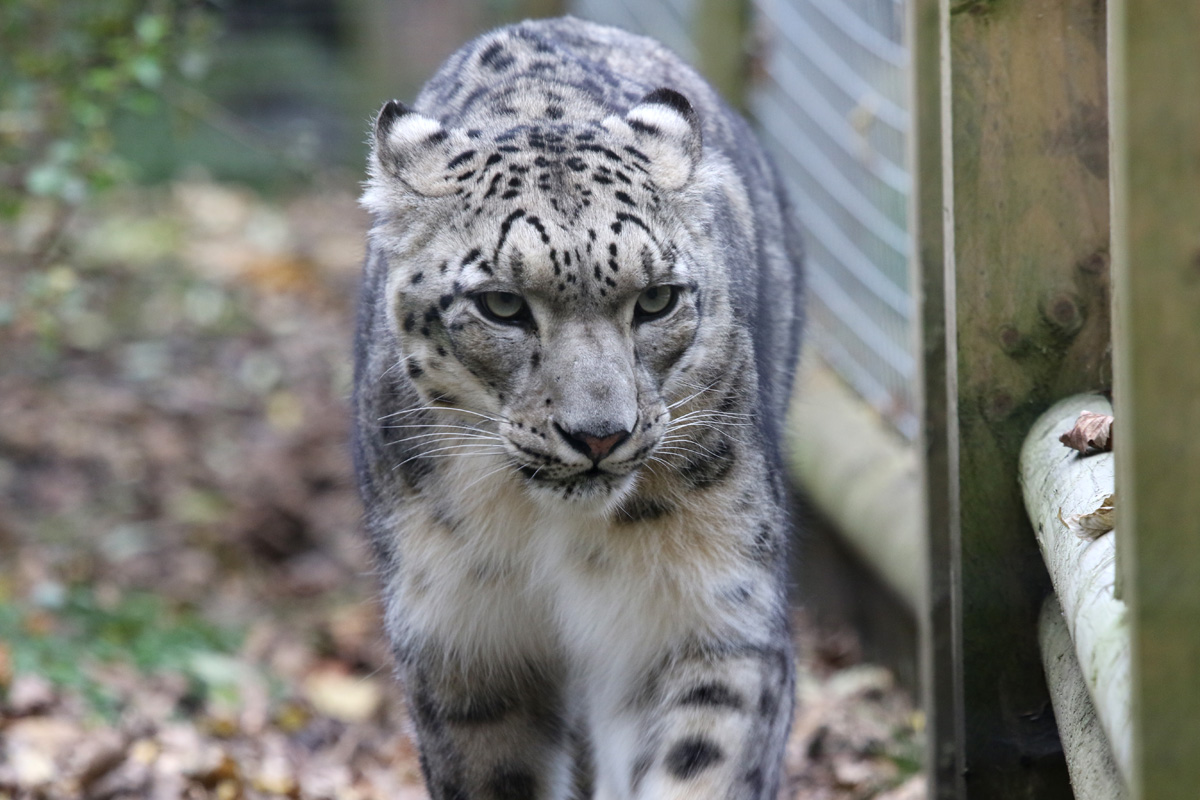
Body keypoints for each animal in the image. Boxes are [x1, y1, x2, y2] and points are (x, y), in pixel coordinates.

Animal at [353, 16, 805, 800]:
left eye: (657, 299)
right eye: (502, 305)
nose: (599, 435)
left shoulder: (715, 611)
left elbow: (701, 761)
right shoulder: (462, 637)